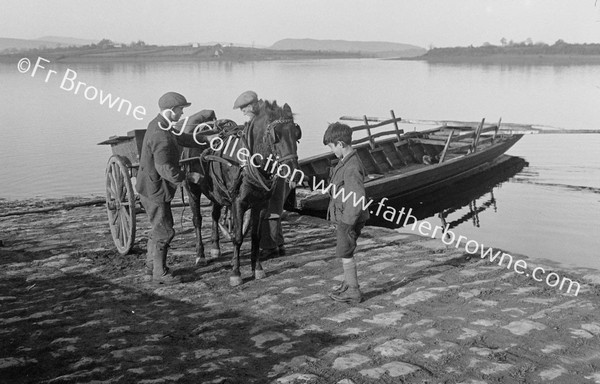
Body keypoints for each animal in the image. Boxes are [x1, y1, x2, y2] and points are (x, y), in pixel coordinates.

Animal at [178, 100, 300, 286]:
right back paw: (201, 255)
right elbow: (238, 237)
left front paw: (257, 268)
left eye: (296, 132)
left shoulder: (261, 204)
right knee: (197, 220)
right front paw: (236, 273)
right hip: (192, 190)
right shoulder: (238, 203)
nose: (294, 173)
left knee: (214, 215)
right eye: (276, 135)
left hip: (216, 192)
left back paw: (215, 248)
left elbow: (256, 236)